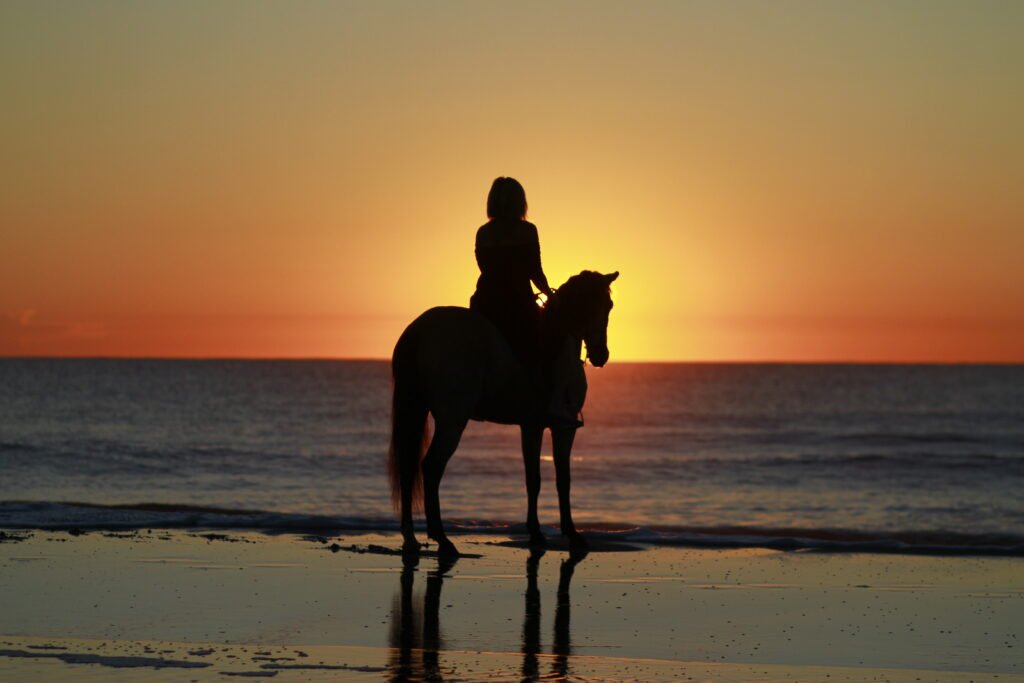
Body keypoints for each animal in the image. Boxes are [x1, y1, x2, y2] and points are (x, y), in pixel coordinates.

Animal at [388, 270, 618, 556]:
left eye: (608, 305)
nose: (601, 355)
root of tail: (421, 329)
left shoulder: (531, 426)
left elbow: (533, 479)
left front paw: (536, 533)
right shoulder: (562, 428)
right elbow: (563, 479)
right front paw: (573, 535)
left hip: (417, 409)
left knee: (408, 467)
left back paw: (410, 537)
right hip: (452, 421)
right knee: (431, 467)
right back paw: (442, 539)